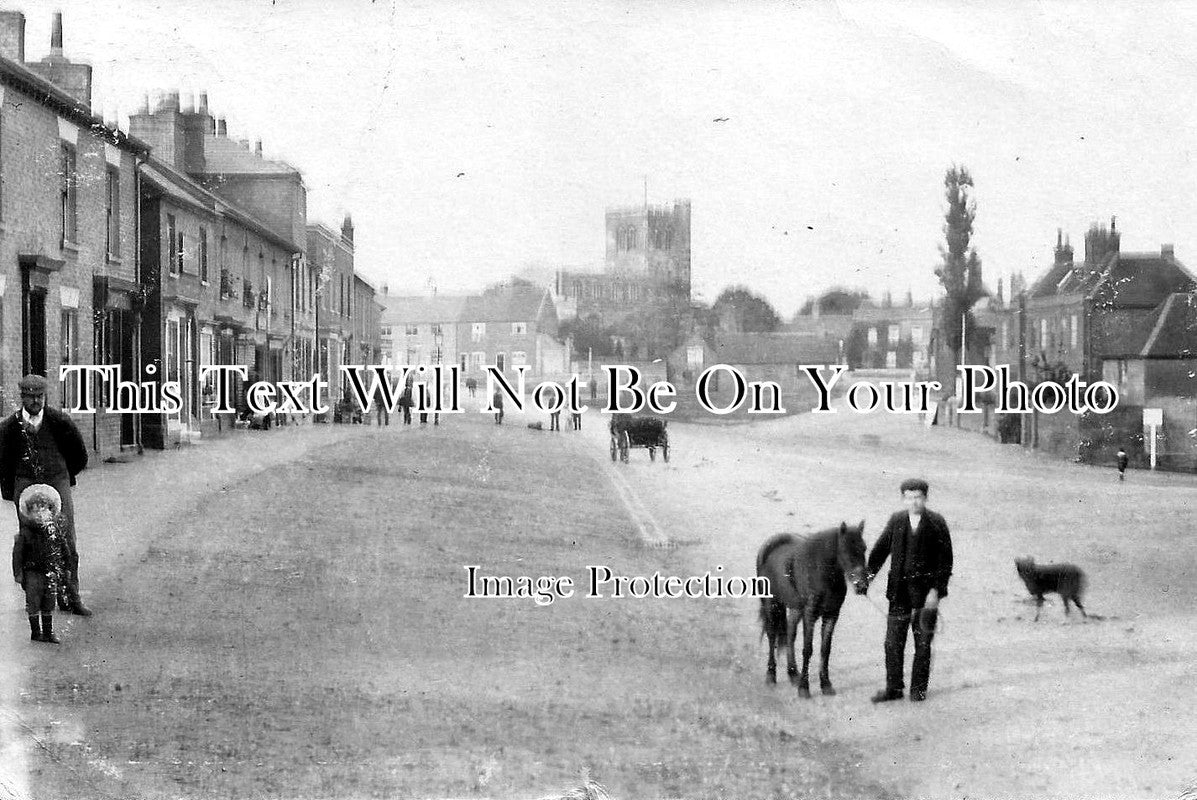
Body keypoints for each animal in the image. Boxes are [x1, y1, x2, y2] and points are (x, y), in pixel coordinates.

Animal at [756, 522, 871, 694]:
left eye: (864, 548)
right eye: (845, 550)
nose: (862, 586)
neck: (821, 574)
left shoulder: (831, 615)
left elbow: (825, 649)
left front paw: (826, 684)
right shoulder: (810, 615)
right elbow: (807, 649)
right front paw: (804, 688)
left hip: (796, 609)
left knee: (790, 634)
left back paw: (793, 674)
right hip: (772, 605)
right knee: (772, 636)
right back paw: (771, 676)